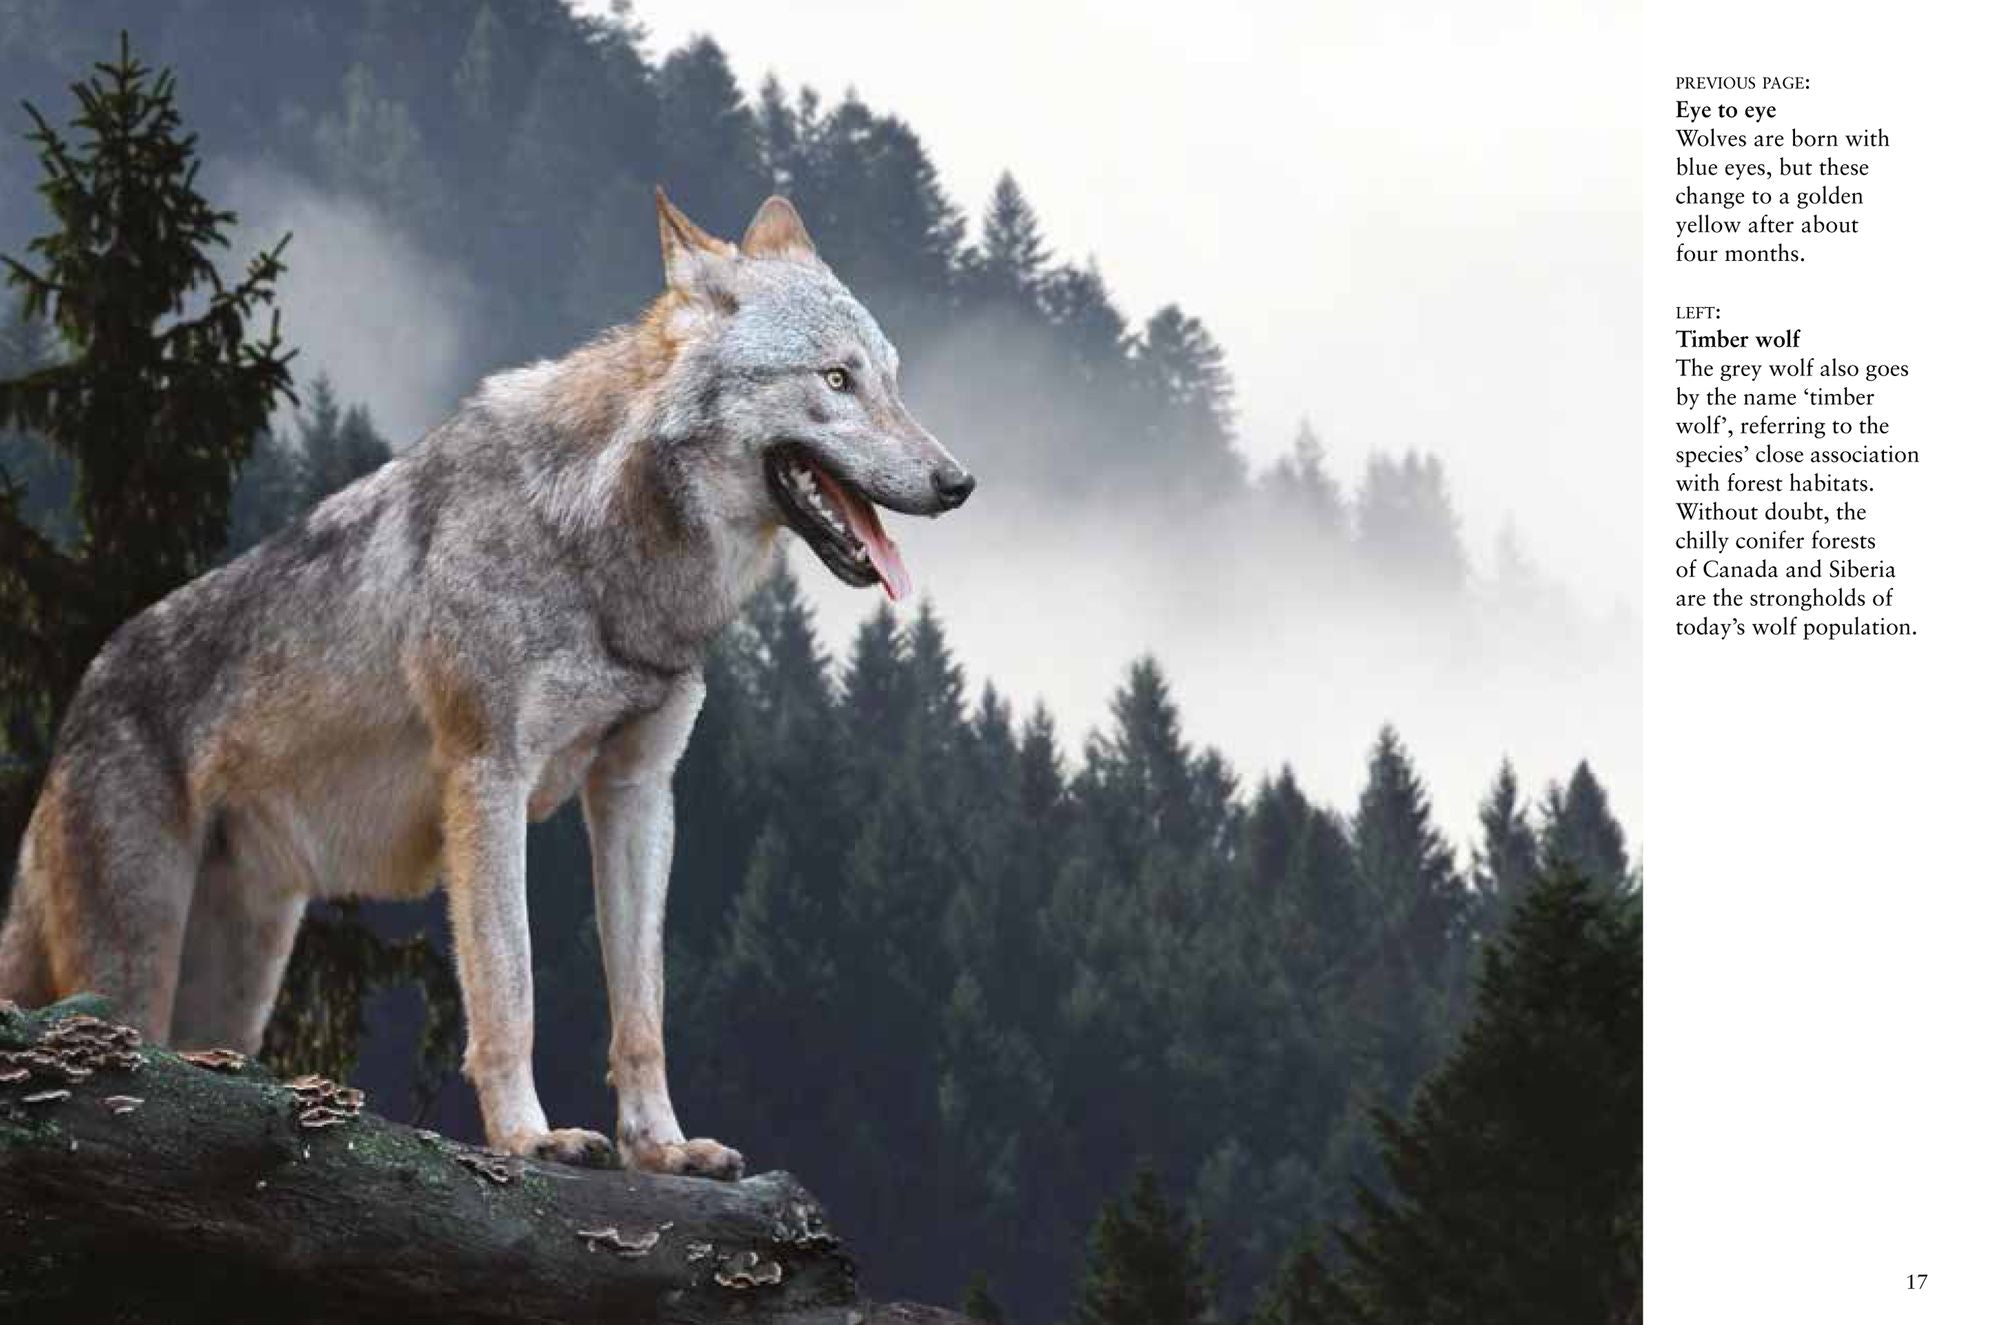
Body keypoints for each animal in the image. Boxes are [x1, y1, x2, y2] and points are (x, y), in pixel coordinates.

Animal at [0, 190, 973, 1176]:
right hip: (133, 968)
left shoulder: (637, 791)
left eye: (892, 381)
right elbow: (510, 989)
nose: (959, 481)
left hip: (237, 984)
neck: (601, 549)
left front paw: (662, 1148)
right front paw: (530, 1137)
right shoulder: (487, 776)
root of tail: (83, 692)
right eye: (836, 379)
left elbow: (642, 1011)